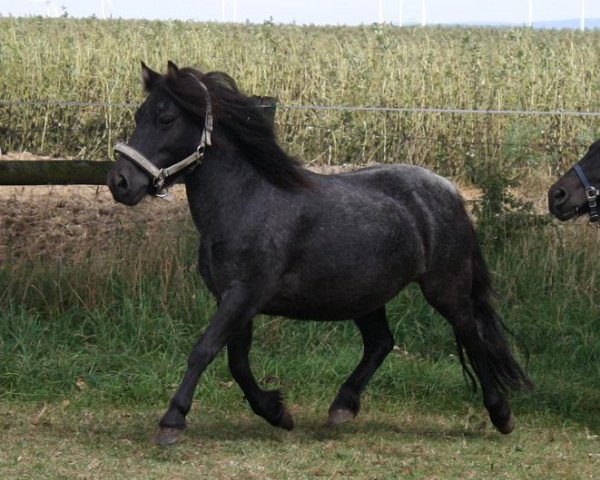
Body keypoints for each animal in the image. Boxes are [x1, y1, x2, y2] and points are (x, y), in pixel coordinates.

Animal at [108, 62, 528, 444]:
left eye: (165, 118)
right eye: (138, 114)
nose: (120, 183)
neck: (247, 201)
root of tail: (451, 191)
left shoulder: (243, 295)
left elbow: (204, 350)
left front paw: (172, 421)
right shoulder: (234, 298)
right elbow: (237, 362)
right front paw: (277, 413)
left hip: (445, 288)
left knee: (471, 334)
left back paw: (502, 414)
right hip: (365, 294)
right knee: (381, 342)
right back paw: (342, 407)